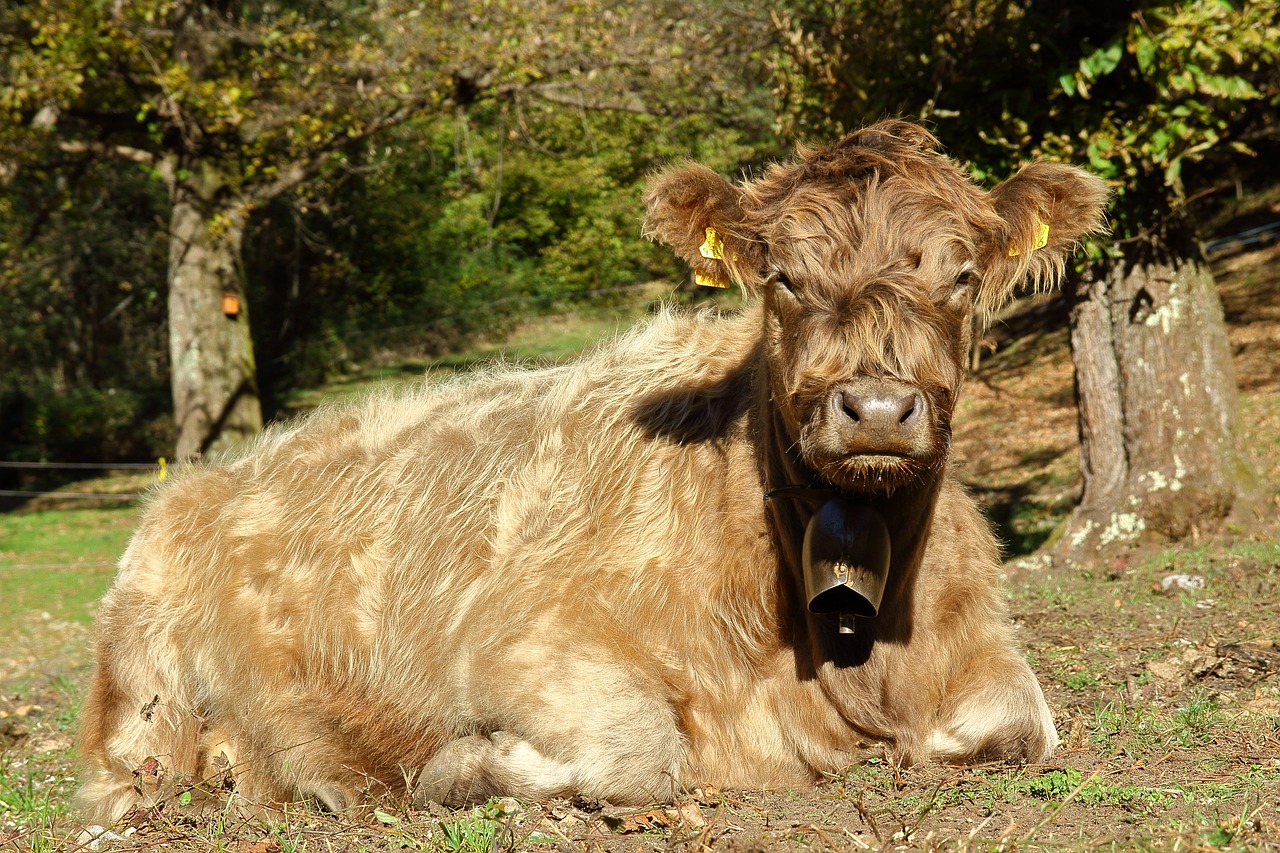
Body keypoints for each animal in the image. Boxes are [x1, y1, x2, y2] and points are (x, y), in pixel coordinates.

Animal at [77, 121, 1111, 824]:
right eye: (782, 276)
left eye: (963, 277)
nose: (879, 409)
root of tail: (202, 476)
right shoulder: (523, 639)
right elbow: (637, 750)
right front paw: (460, 769)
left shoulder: (981, 644)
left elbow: (1023, 721)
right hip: (143, 675)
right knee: (132, 770)